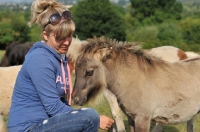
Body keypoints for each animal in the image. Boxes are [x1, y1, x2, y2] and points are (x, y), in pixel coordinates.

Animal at [72, 37, 200, 132]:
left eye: (89, 72)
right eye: (75, 69)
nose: (76, 99)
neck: (134, 80)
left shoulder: (142, 119)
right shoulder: (131, 118)